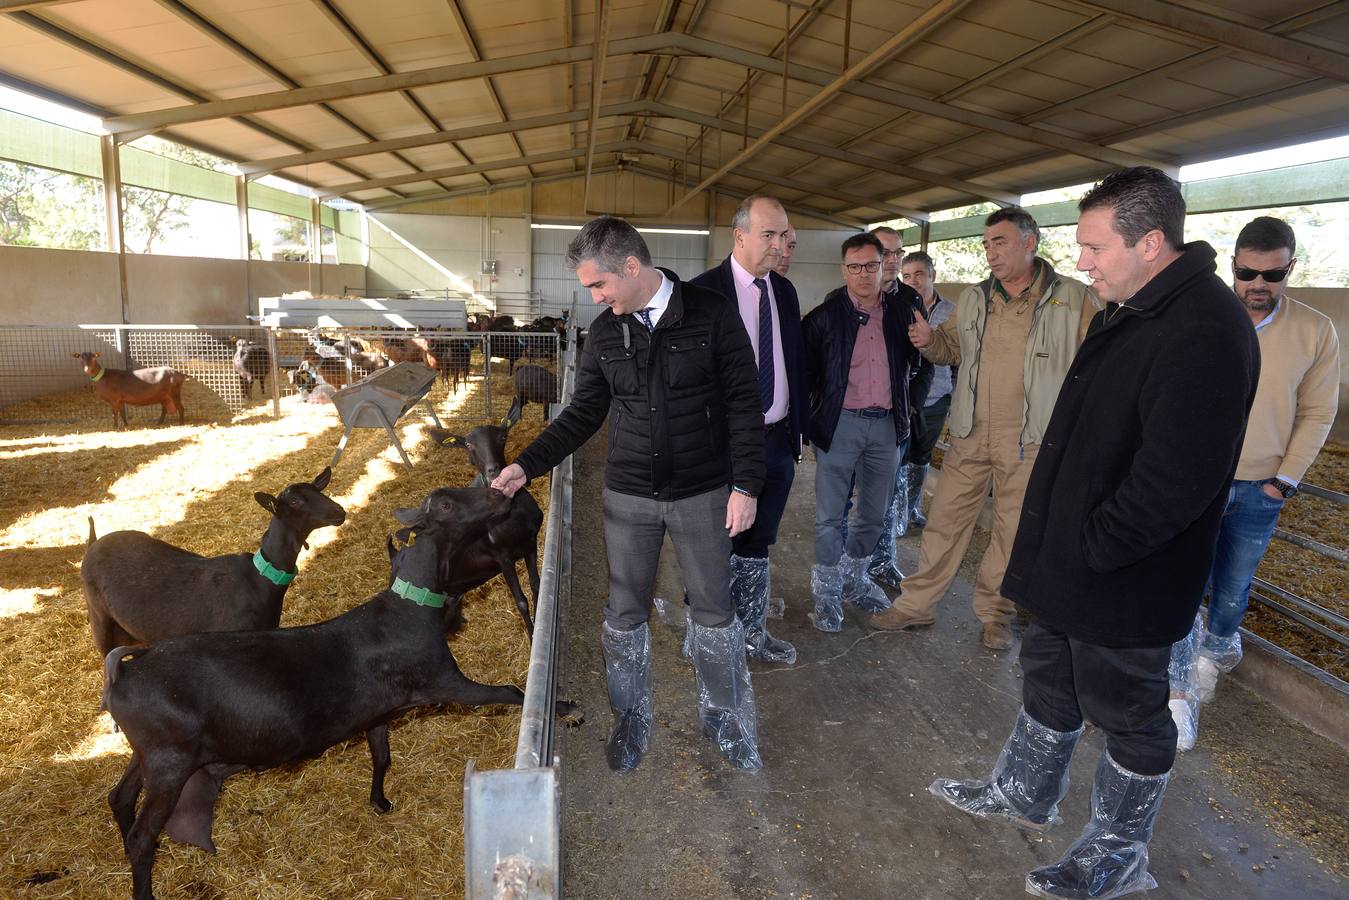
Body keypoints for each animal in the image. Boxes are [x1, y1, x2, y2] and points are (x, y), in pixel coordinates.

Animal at [81, 469, 345, 658]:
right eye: (295, 502)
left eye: (319, 491)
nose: (339, 511)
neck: (260, 580)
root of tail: (92, 543)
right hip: (100, 620)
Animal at [103, 488, 520, 900]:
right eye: (446, 504)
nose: (501, 494)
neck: (408, 609)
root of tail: (126, 671)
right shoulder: (446, 680)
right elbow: (508, 691)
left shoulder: (378, 713)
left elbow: (382, 757)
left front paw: (379, 802)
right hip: (169, 764)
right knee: (142, 836)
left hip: (150, 756)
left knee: (119, 797)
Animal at [426, 396, 542, 636]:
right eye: (468, 445)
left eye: (502, 436)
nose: (493, 471)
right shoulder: (502, 556)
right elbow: (521, 602)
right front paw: (531, 634)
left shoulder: (530, 542)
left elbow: (536, 585)